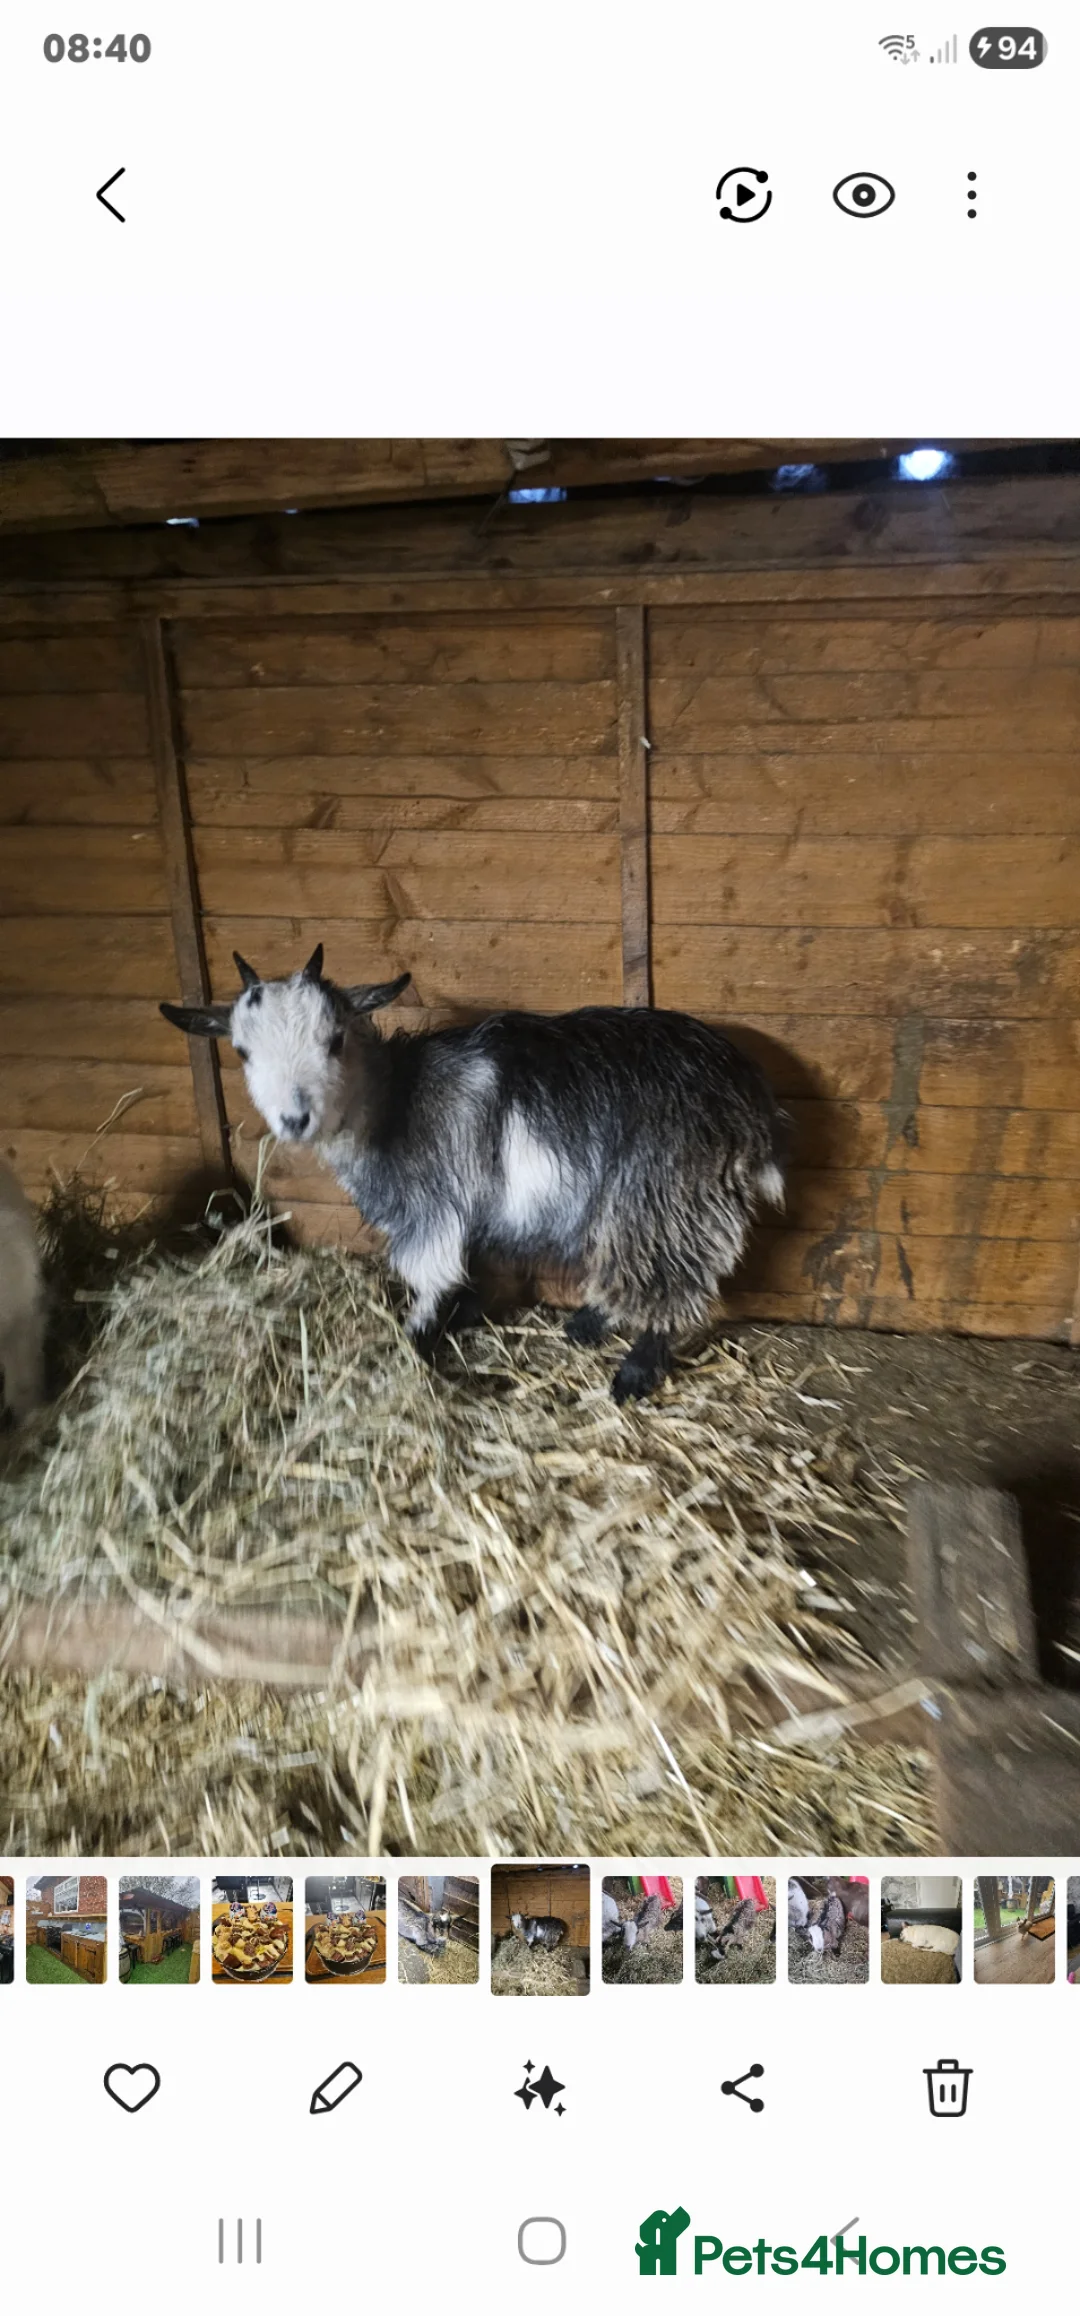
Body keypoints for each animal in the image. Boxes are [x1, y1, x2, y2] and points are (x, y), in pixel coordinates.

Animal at [161, 945, 784, 1402]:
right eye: (241, 1051)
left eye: (334, 1039)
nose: (295, 1119)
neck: (394, 1101)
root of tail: (750, 1100)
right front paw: (461, 1317)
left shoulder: (432, 1211)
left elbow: (430, 1275)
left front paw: (416, 1341)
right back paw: (587, 1325)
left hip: (665, 1195)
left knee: (667, 1280)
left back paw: (633, 1374)